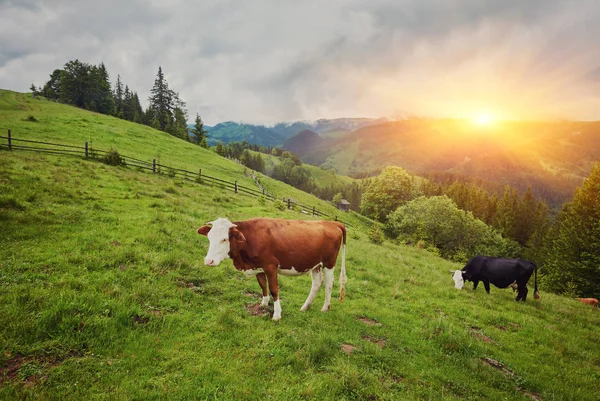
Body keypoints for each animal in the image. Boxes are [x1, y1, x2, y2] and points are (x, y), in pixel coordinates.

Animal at [197, 217, 346, 320]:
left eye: (224, 239)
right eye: (209, 238)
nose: (208, 261)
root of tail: (332, 223)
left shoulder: (270, 265)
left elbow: (274, 289)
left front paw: (277, 314)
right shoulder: (258, 266)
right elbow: (263, 285)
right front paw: (263, 303)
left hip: (329, 263)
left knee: (328, 284)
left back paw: (325, 308)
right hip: (315, 265)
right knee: (317, 284)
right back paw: (305, 307)